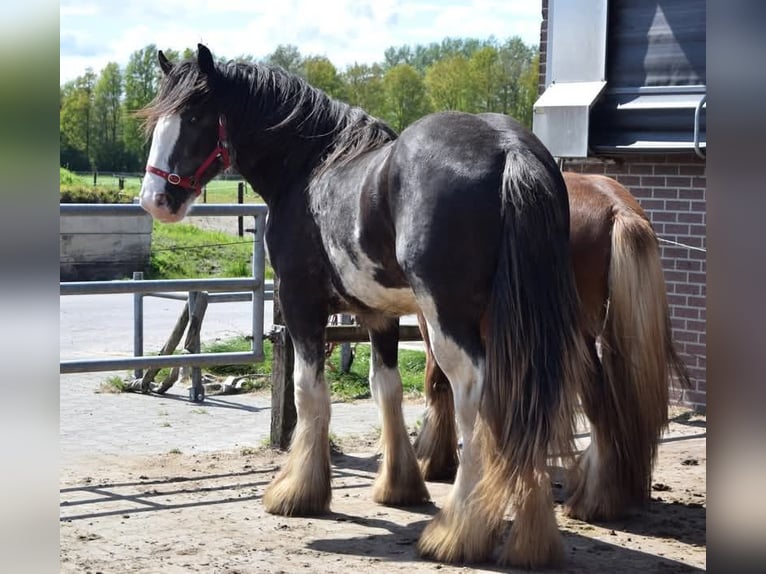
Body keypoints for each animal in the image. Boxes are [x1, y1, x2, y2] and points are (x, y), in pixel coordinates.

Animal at [137, 44, 594, 569]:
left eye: (194, 115)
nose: (154, 199)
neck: (309, 168)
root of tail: (508, 150)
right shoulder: (381, 314)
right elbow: (386, 390)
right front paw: (400, 486)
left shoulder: (300, 303)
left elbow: (309, 393)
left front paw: (298, 491)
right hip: (518, 322)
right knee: (526, 402)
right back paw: (532, 540)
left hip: (451, 324)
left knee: (475, 402)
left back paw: (457, 532)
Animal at [414, 170, 691, 522]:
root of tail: (618, 209)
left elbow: (438, 382)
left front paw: (434, 461)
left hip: (577, 337)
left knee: (599, 402)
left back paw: (592, 501)